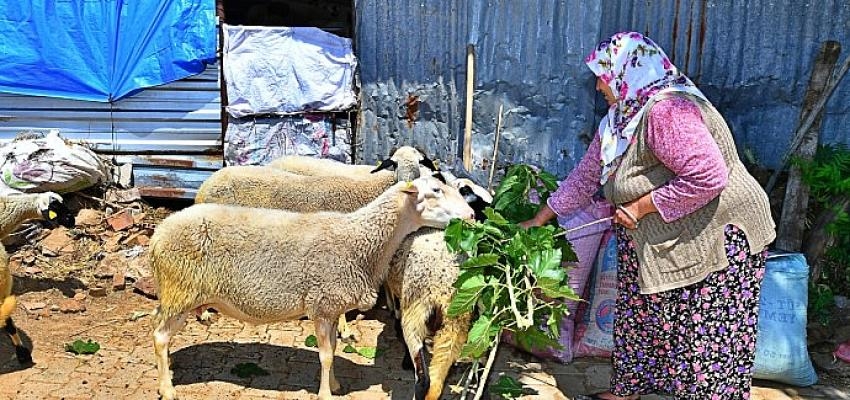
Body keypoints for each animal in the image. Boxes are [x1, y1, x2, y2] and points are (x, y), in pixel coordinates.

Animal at [150, 175, 475, 400]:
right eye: (435, 192)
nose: (472, 215)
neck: (360, 240)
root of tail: (157, 235)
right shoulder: (321, 305)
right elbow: (326, 355)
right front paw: (325, 394)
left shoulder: (331, 309)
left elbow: (332, 348)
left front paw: (334, 384)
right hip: (180, 292)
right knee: (159, 337)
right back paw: (167, 389)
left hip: (178, 294)